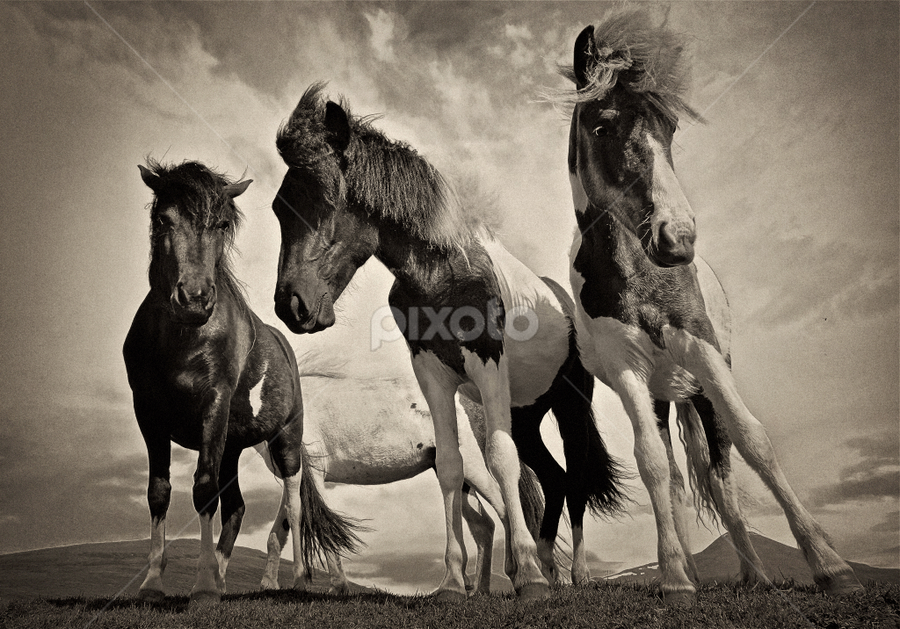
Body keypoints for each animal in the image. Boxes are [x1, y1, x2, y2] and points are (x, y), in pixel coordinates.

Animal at [123, 160, 360, 603]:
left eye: (220, 224)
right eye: (163, 219)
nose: (195, 299)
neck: (184, 339)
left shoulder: (213, 405)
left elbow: (203, 490)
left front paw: (201, 587)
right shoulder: (148, 414)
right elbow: (159, 492)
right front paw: (153, 584)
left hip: (285, 442)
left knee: (293, 504)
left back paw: (298, 580)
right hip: (231, 447)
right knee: (236, 508)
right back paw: (222, 577)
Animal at [269, 83, 628, 601]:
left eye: (325, 197)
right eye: (280, 206)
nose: (291, 305)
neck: (442, 273)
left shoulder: (487, 363)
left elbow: (500, 462)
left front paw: (527, 577)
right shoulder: (432, 375)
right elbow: (452, 468)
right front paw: (456, 582)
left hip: (571, 405)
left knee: (575, 477)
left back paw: (574, 573)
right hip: (526, 413)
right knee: (555, 479)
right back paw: (549, 566)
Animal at [555, 11, 863, 602]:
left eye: (671, 128)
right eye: (602, 126)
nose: (678, 239)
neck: (638, 272)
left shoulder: (701, 349)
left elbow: (754, 441)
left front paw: (831, 565)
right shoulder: (628, 370)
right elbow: (652, 464)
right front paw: (676, 576)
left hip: (701, 388)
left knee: (722, 477)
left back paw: (756, 573)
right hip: (660, 392)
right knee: (678, 477)